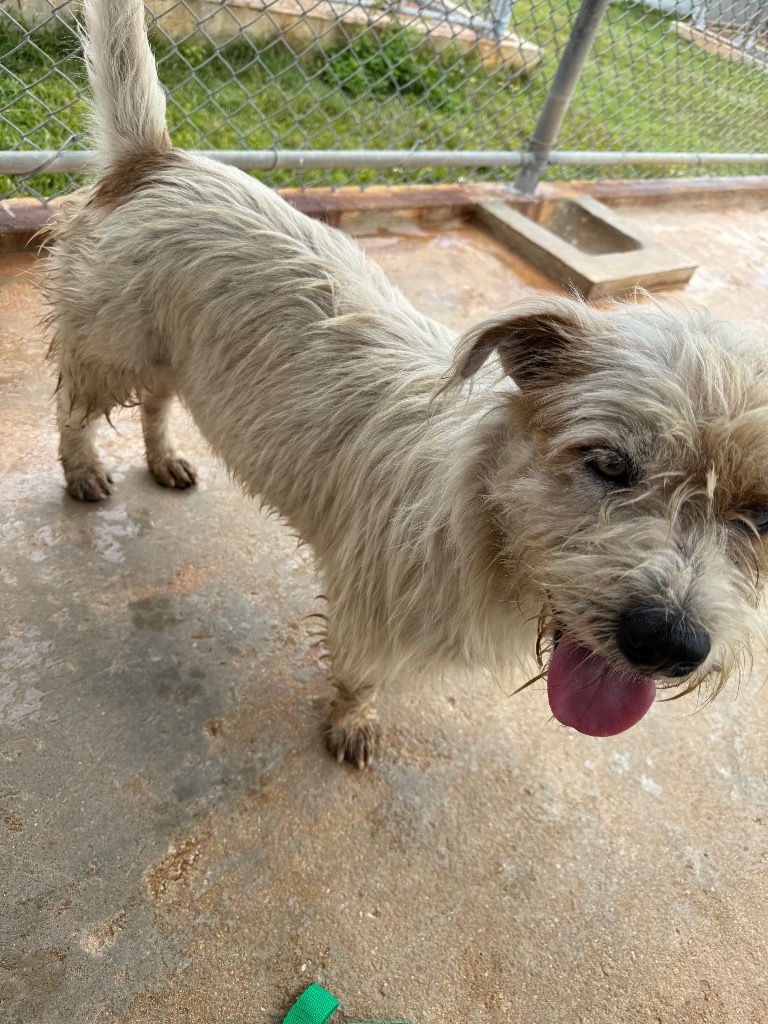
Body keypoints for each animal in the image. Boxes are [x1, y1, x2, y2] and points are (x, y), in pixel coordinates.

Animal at [46, 0, 768, 765]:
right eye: (609, 464)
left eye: (763, 516)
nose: (668, 643)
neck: (479, 516)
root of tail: (157, 160)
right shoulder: (369, 604)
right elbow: (360, 671)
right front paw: (352, 721)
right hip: (111, 351)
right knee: (72, 406)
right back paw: (83, 469)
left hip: (165, 352)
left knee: (156, 401)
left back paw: (162, 457)